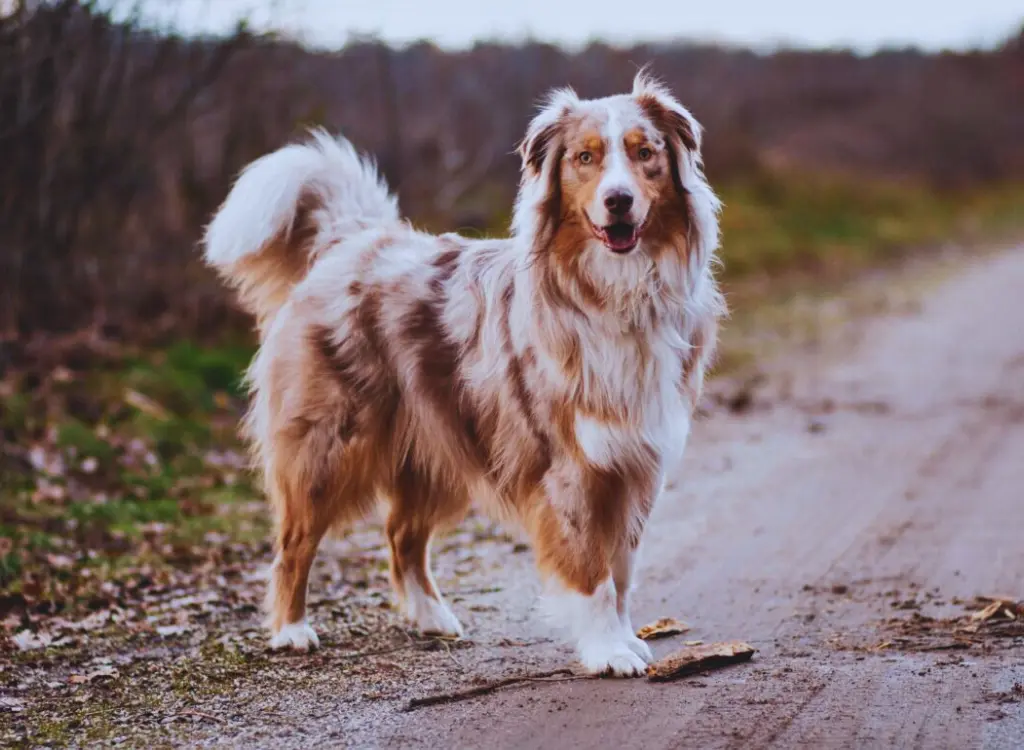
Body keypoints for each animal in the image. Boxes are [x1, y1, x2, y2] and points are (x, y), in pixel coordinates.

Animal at [203, 71, 724, 680]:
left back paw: (432, 617)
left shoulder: (635, 464)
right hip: (328, 446)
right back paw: (291, 630)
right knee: (295, 541)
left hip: (437, 444)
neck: (616, 292)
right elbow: (592, 571)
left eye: (646, 153)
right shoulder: (572, 467)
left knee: (401, 535)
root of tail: (351, 240)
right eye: (585, 158)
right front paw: (607, 651)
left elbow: (621, 571)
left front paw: (625, 639)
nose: (618, 200)